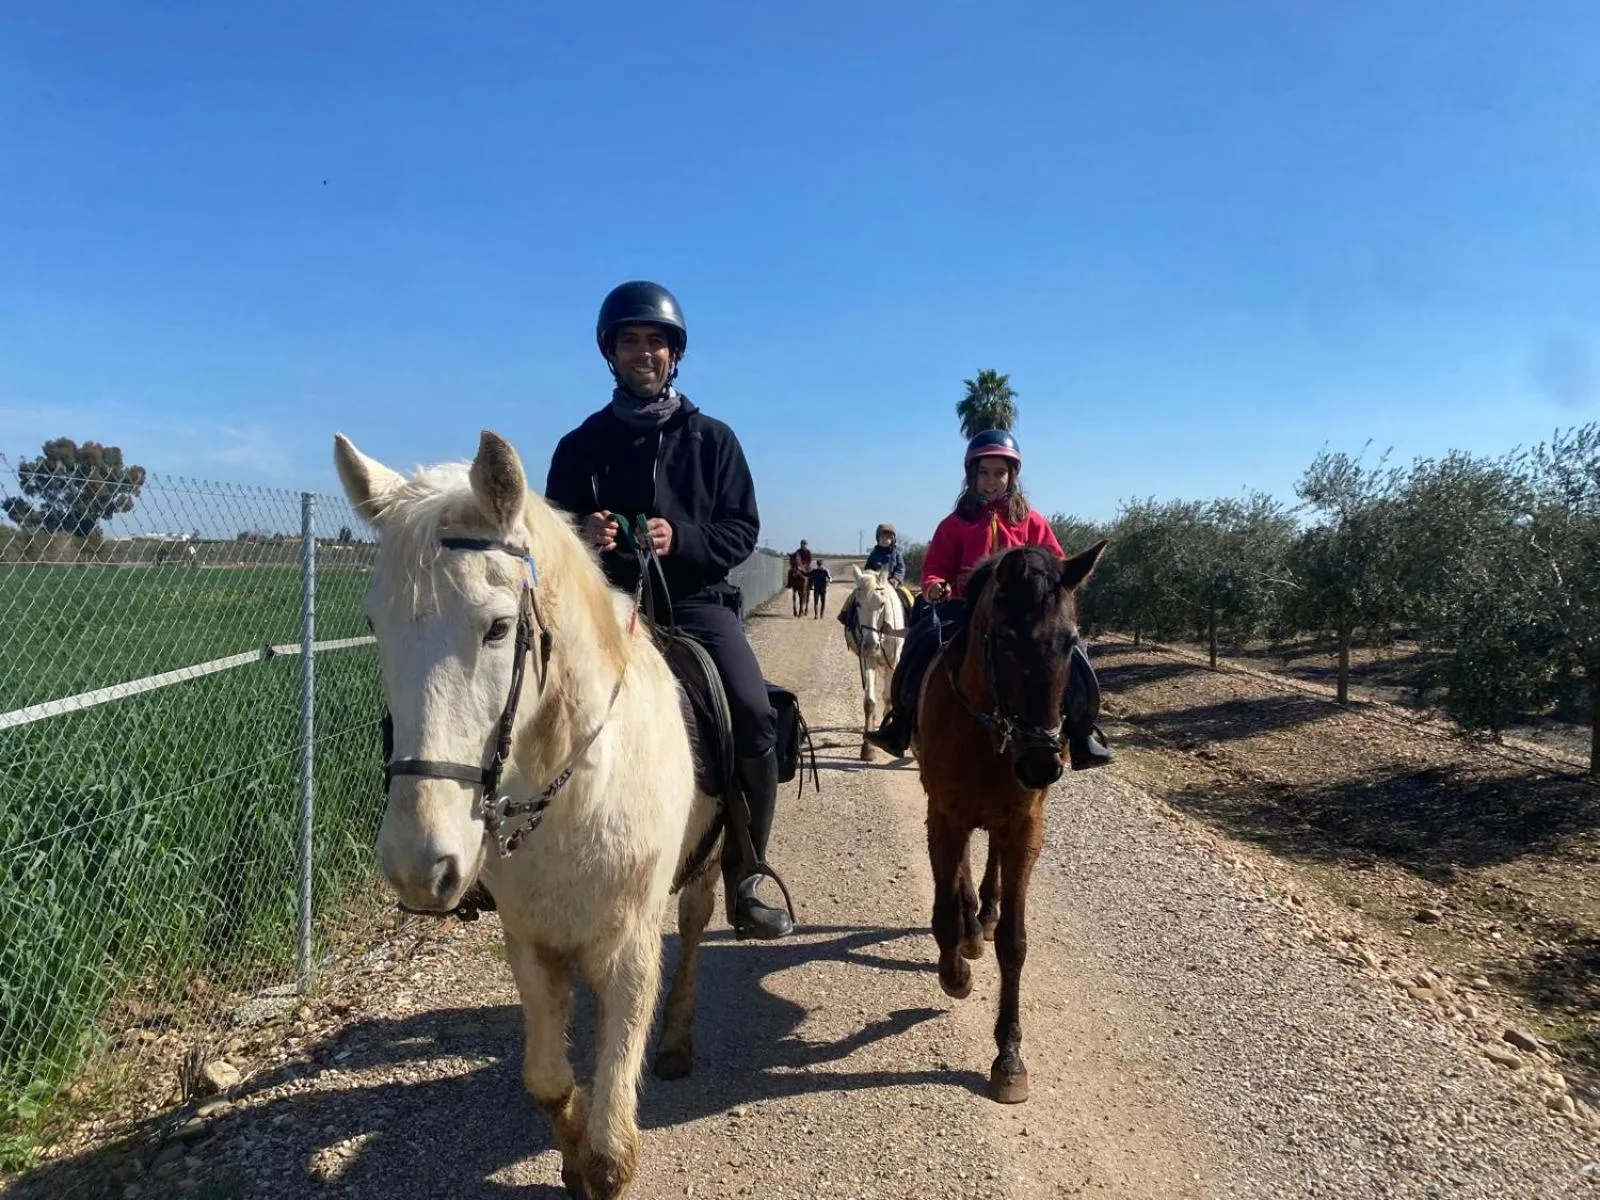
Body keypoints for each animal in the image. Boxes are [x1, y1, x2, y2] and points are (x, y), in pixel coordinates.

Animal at [333, 429, 725, 1200]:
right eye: (372, 622)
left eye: (498, 628)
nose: (419, 867)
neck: (575, 796)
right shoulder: (532, 943)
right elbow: (546, 1078)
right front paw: (570, 1159)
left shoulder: (631, 948)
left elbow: (614, 1119)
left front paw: (600, 1161)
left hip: (706, 868)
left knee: (696, 932)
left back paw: (677, 1040)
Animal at [842, 565, 906, 761]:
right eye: (858, 604)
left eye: (882, 604)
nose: (870, 645)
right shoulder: (867, 660)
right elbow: (870, 701)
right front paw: (867, 749)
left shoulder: (893, 661)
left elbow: (889, 696)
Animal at [910, 540, 1106, 1105]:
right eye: (1005, 640)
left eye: (1070, 642)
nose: (1042, 765)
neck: (989, 732)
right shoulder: (944, 815)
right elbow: (943, 909)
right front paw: (955, 972)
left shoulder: (1024, 826)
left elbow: (1015, 944)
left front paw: (1009, 1057)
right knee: (959, 876)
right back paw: (971, 929)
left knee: (989, 862)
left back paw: (985, 914)